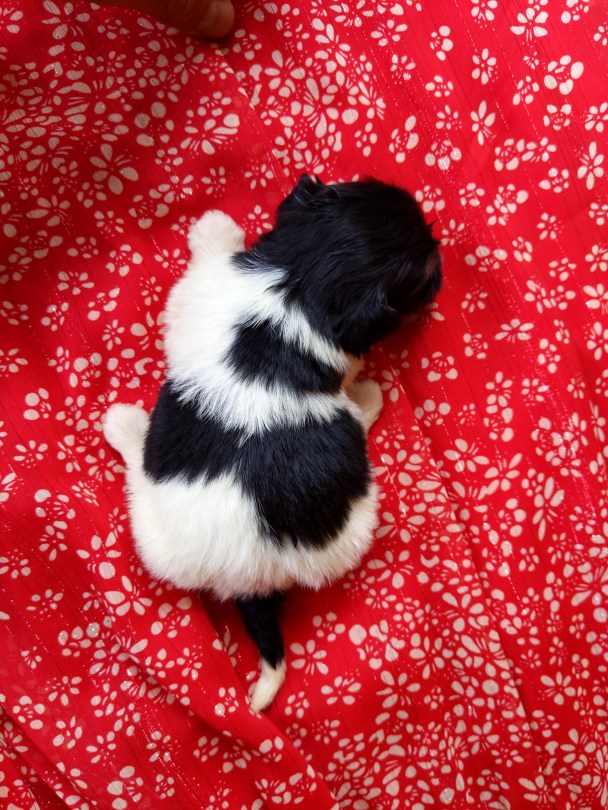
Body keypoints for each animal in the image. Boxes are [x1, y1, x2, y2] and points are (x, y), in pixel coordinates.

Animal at [103, 175, 442, 712]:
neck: (302, 285)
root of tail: (243, 575)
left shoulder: (201, 288)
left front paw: (214, 227)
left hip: (161, 533)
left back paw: (127, 426)